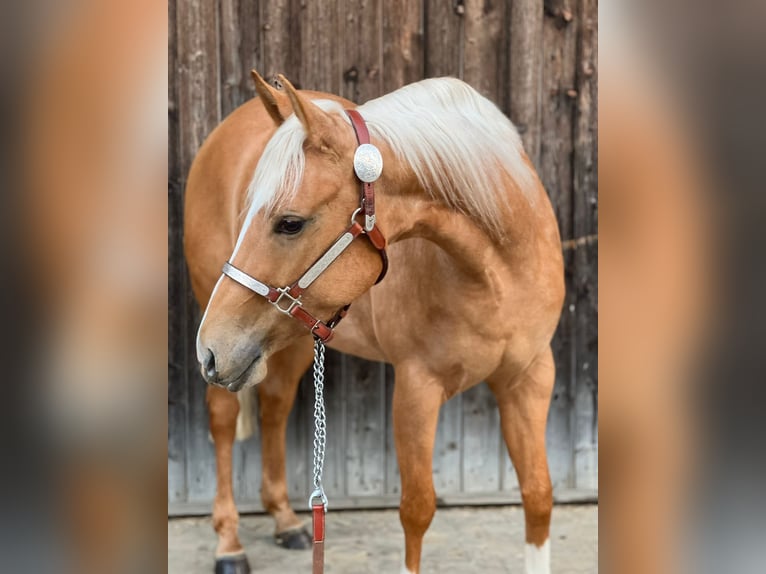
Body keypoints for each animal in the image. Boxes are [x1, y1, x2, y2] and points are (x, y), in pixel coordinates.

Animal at [185, 71, 564, 574]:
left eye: (290, 223)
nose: (210, 348)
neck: (497, 271)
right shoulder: (417, 387)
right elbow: (417, 510)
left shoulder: (530, 379)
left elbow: (538, 496)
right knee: (224, 421)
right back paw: (229, 545)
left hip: (292, 339)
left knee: (275, 406)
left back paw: (286, 521)